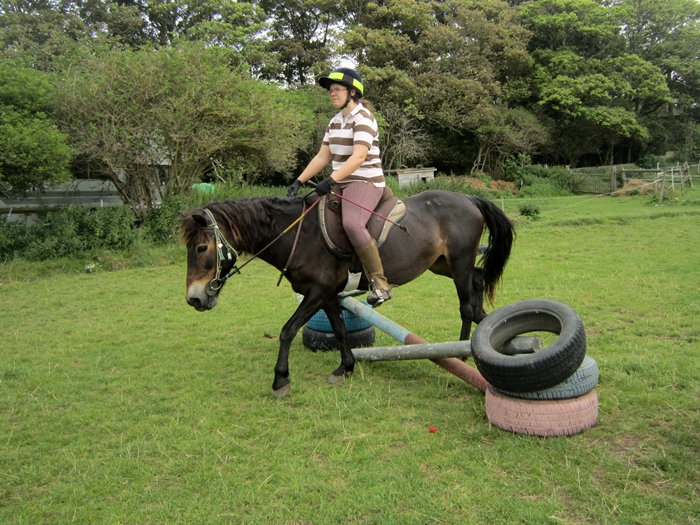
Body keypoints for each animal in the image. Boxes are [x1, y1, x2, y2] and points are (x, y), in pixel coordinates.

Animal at [181, 190, 514, 398]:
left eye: (201, 248)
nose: (194, 299)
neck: (299, 235)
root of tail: (468, 199)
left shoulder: (317, 292)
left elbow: (288, 330)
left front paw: (280, 379)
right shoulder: (328, 296)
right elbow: (340, 330)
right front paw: (345, 367)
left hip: (458, 262)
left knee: (466, 306)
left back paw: (460, 352)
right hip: (442, 264)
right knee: (478, 280)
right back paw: (483, 323)